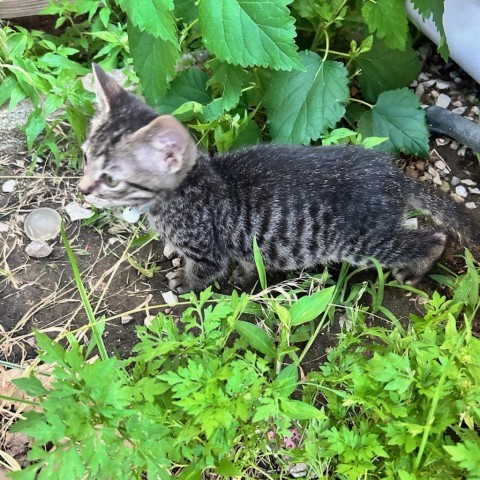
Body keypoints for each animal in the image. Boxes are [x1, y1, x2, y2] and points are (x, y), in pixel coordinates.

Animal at [79, 64, 472, 292]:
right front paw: (247, 275)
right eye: (85, 158)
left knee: (432, 237)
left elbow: (204, 271)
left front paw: (185, 282)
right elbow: (250, 259)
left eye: (111, 179)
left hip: (362, 240)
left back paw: (416, 270)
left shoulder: (207, 247)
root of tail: (394, 175)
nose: (82, 189)